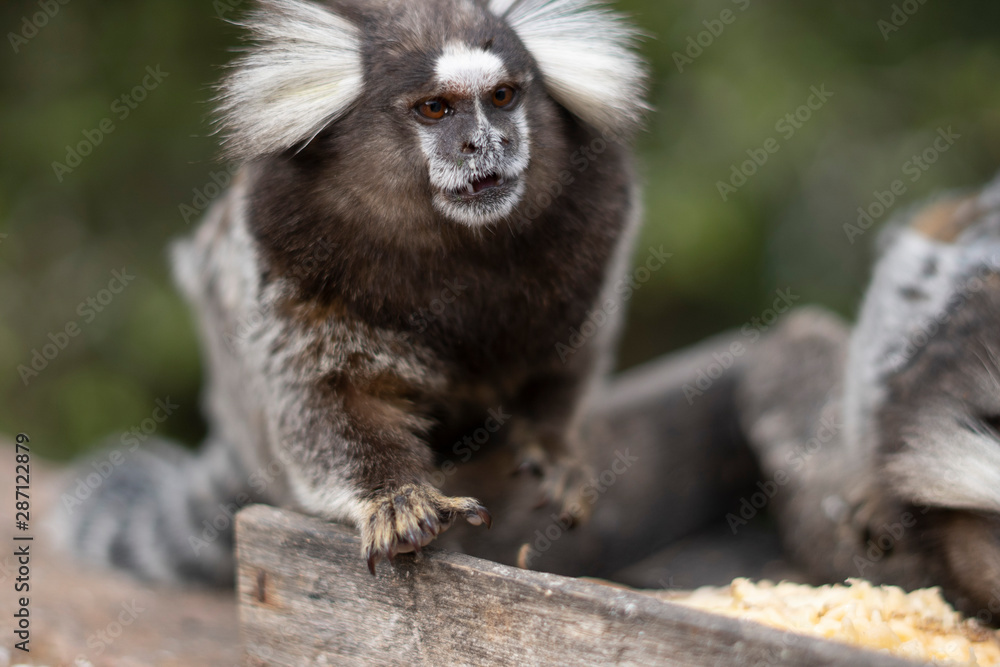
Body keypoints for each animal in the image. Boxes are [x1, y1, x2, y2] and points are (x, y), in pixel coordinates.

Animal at [54, 0, 649, 584]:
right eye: (436, 109)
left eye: (502, 97)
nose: (487, 144)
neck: (460, 245)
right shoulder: (283, 262)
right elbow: (325, 400)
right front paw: (396, 500)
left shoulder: (594, 244)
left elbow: (566, 368)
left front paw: (553, 448)